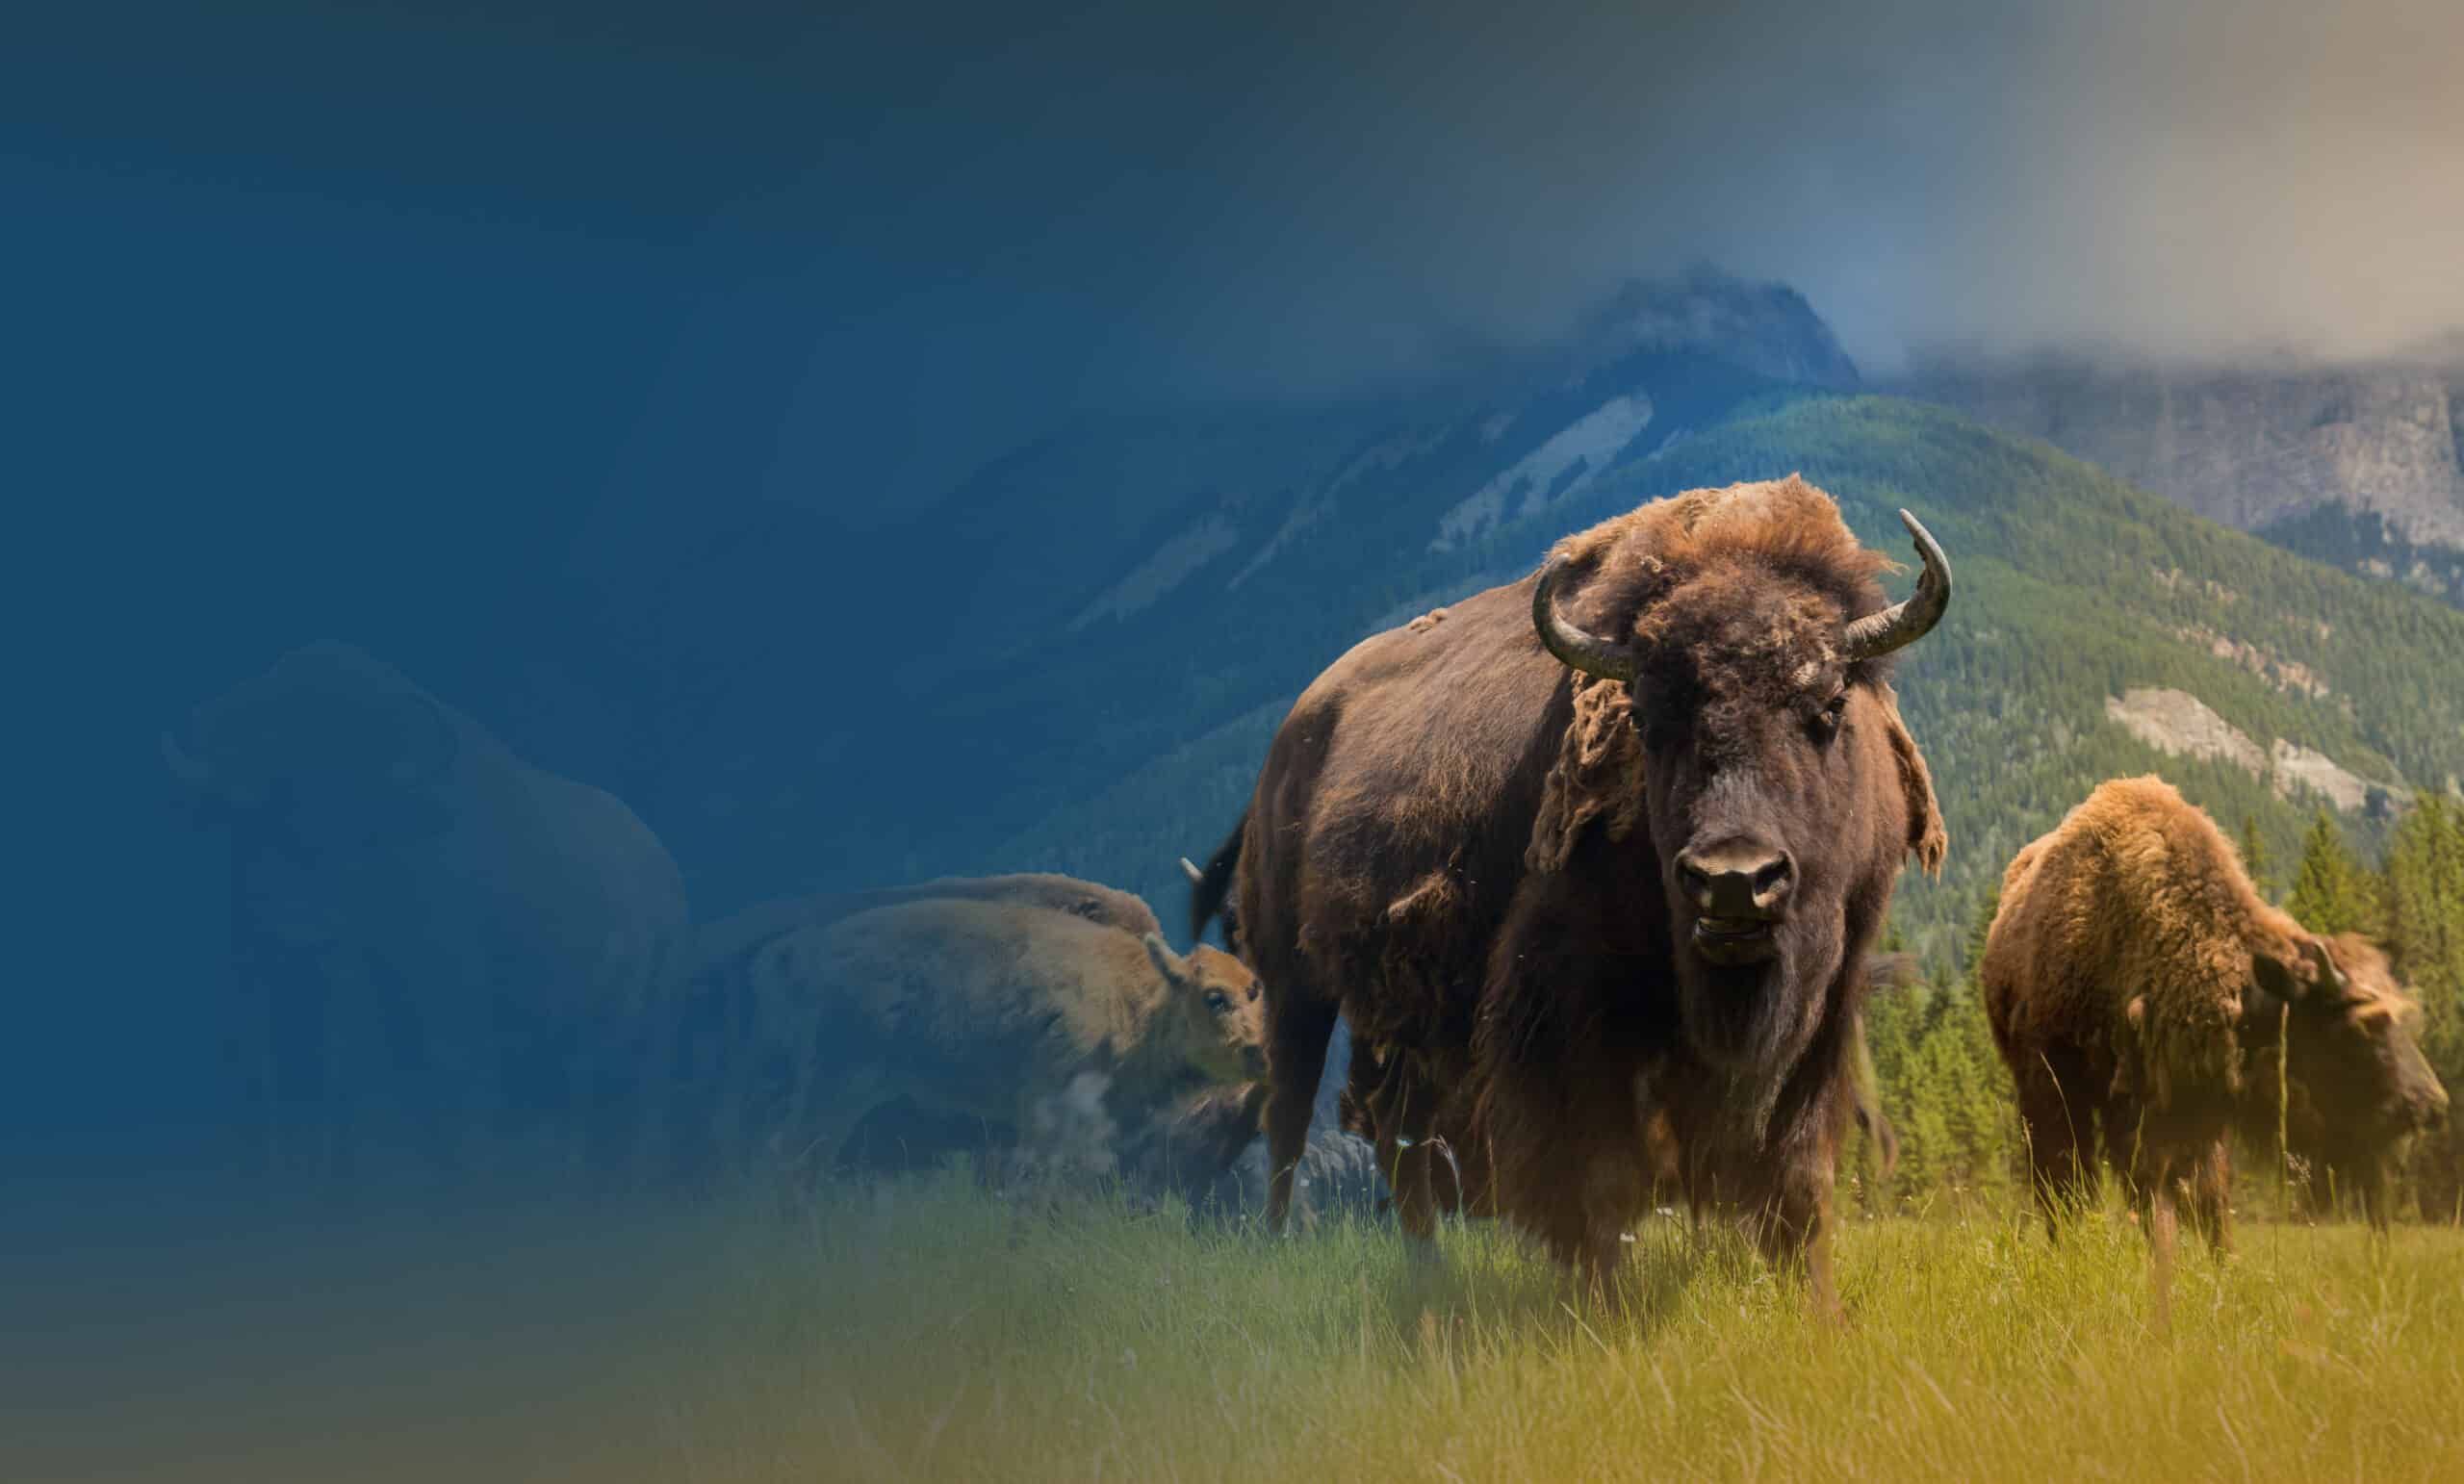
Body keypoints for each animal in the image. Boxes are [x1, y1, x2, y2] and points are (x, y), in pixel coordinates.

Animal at [1194, 476, 1949, 1308]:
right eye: (1645, 718)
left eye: (1829, 707)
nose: (1732, 882)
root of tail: (1291, 738)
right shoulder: (1568, 1007)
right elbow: (1598, 1177)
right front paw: (1602, 1304)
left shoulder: (1828, 1006)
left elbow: (1799, 1173)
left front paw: (1817, 1307)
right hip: (1295, 986)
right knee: (1291, 1121)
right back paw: (1282, 1249)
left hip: (1399, 1020)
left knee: (1398, 1139)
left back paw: (1429, 1275)